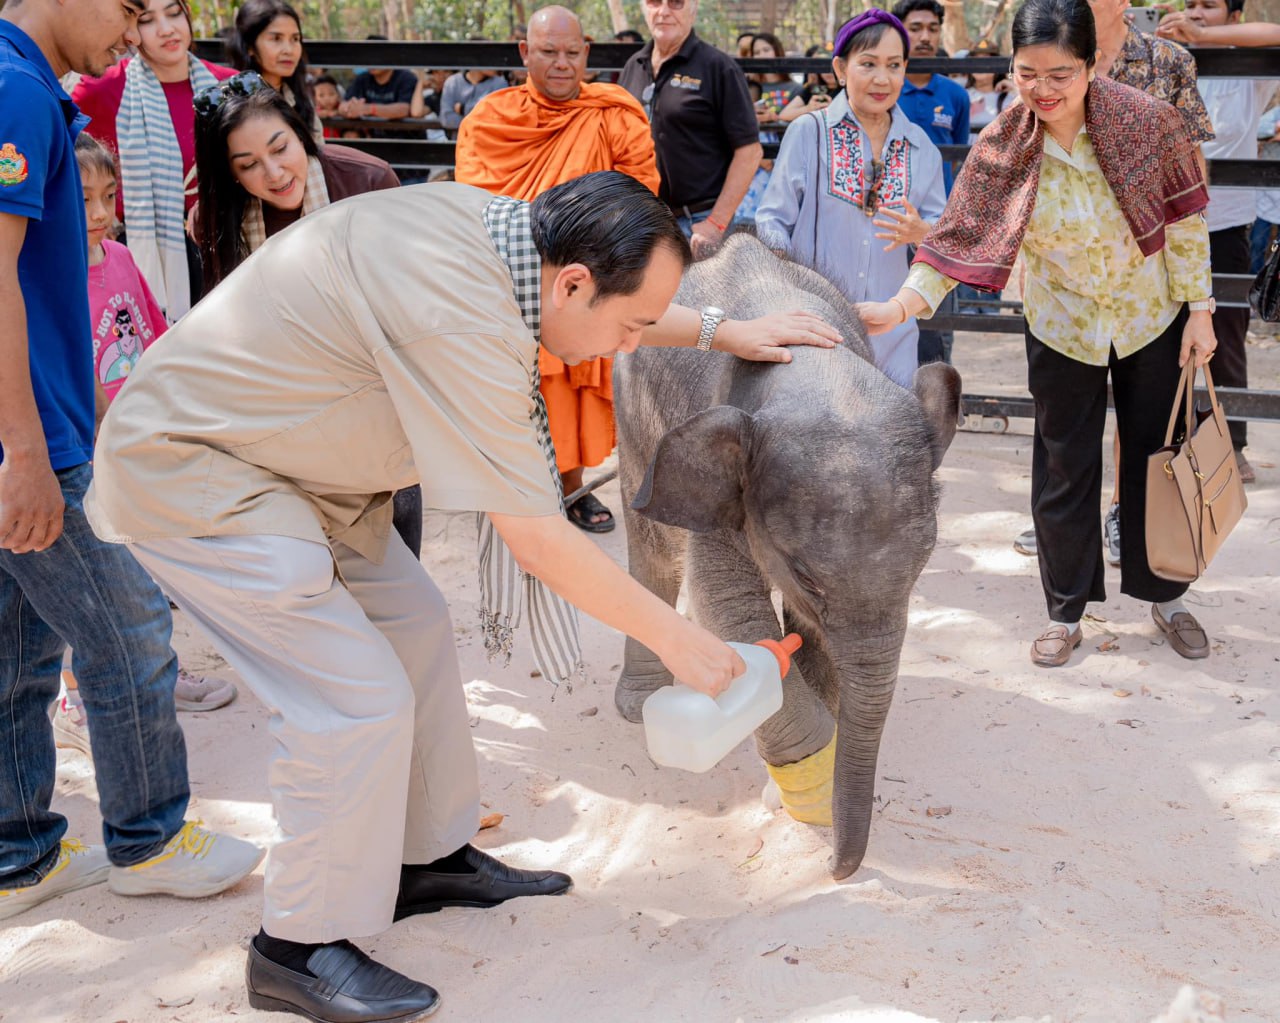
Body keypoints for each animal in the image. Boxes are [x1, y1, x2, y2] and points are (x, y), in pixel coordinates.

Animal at [611, 234, 962, 880]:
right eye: (805, 574)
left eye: (923, 564)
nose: (838, 871)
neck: (817, 366)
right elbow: (730, 608)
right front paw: (807, 785)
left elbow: (811, 637)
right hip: (633, 414)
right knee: (652, 550)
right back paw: (638, 704)